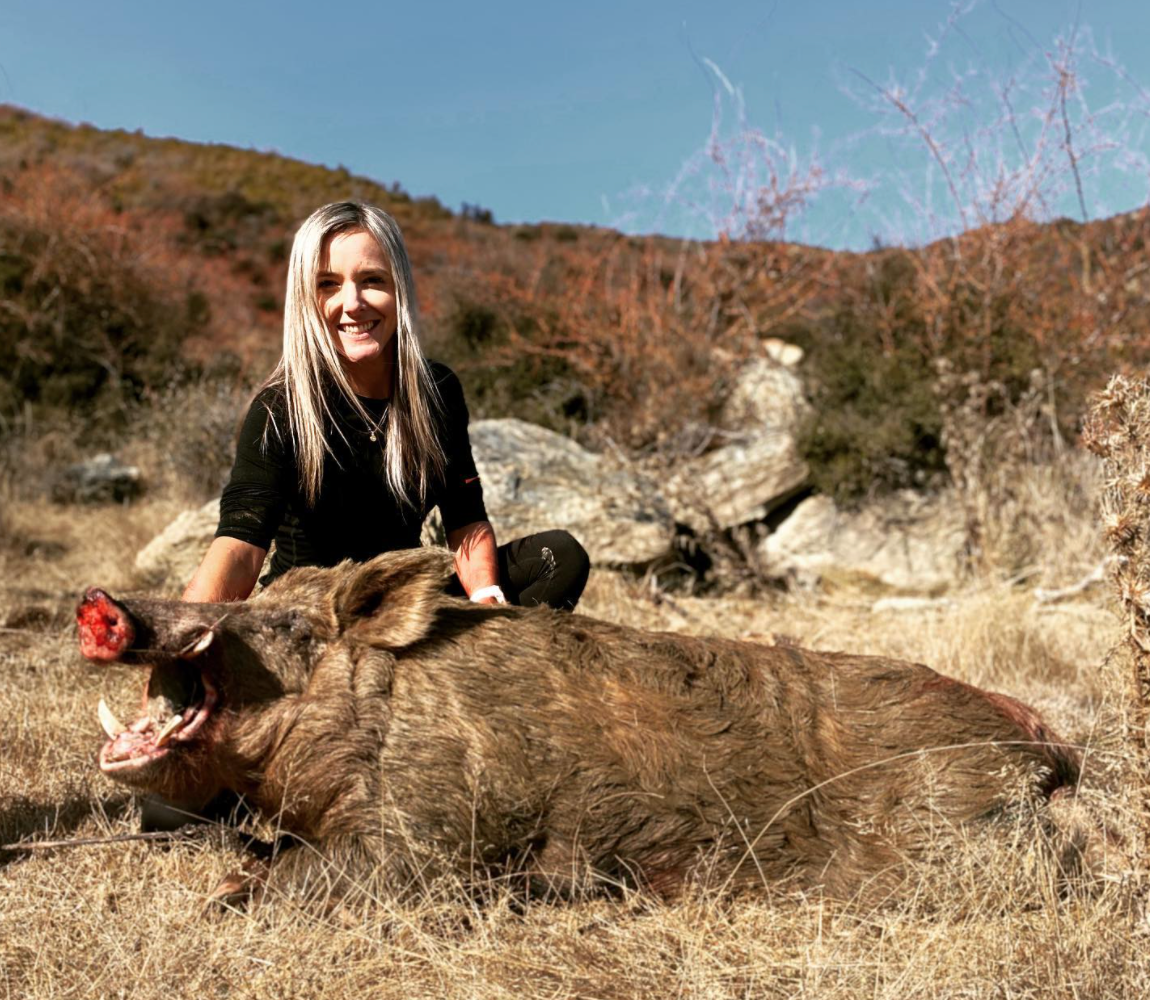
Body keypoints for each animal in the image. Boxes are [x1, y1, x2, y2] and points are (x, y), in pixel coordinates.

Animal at [77, 547, 1081, 902]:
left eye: (291, 627)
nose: (104, 605)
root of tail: (1044, 743)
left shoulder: (430, 839)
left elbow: (301, 879)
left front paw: (225, 895)